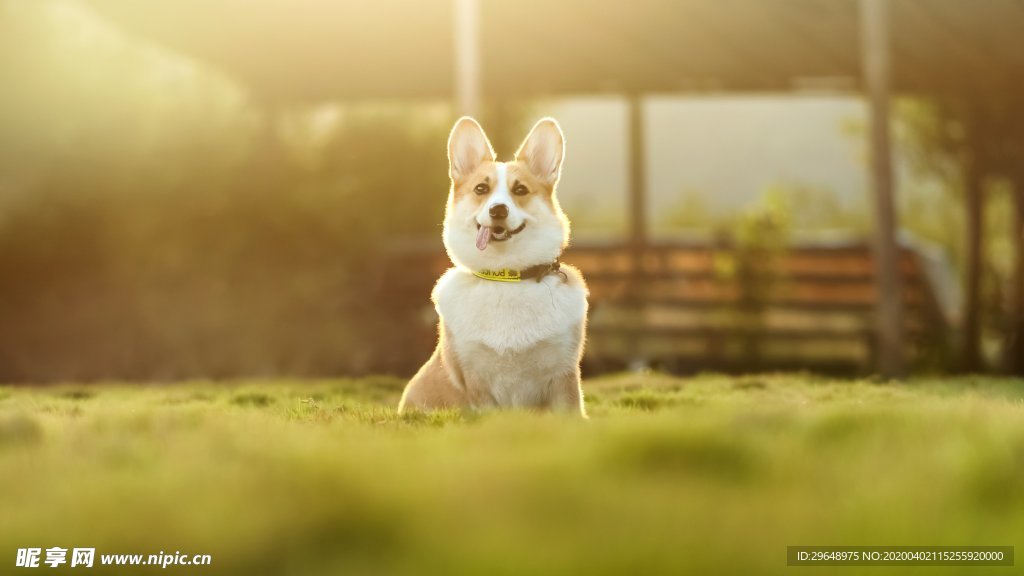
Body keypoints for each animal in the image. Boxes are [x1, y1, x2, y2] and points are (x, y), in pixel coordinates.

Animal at [399, 116, 593, 414]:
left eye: (520, 190)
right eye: (481, 188)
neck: (506, 277)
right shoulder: (477, 381)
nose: (498, 210)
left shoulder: (563, 375)